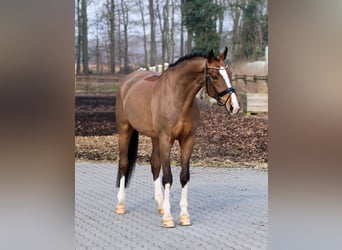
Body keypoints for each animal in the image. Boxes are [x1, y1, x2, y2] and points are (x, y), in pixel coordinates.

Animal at [115, 47, 240, 229]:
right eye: (215, 76)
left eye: (229, 74)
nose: (235, 107)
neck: (178, 98)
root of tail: (128, 80)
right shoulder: (166, 139)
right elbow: (168, 177)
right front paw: (168, 218)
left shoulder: (188, 140)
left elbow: (184, 176)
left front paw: (184, 216)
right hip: (125, 130)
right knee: (124, 163)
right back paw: (121, 205)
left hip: (154, 137)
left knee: (154, 164)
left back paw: (160, 205)